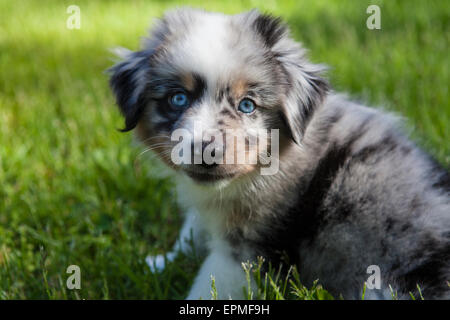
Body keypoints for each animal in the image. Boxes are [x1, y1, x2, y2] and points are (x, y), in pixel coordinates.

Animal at [109, 8, 450, 300]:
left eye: (247, 105)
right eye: (178, 98)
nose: (206, 153)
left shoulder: (246, 252)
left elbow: (209, 283)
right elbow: (191, 229)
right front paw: (160, 262)